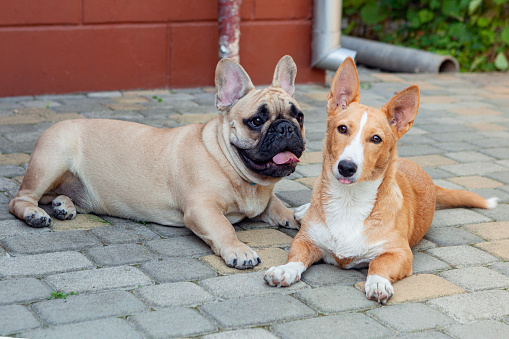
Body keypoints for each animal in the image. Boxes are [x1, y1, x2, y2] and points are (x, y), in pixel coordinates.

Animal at [9, 57, 304, 270]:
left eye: (299, 116)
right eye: (256, 121)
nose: (285, 128)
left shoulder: (263, 201)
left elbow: (279, 206)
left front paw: (296, 216)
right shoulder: (201, 208)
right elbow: (224, 227)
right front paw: (239, 250)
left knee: (58, 197)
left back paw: (64, 205)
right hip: (50, 162)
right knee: (21, 199)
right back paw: (35, 214)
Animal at [264, 57, 494, 304]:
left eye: (376, 139)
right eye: (342, 128)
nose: (346, 167)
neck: (349, 201)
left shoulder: (400, 253)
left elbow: (378, 263)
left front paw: (377, 282)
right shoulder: (305, 240)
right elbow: (295, 256)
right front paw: (285, 270)